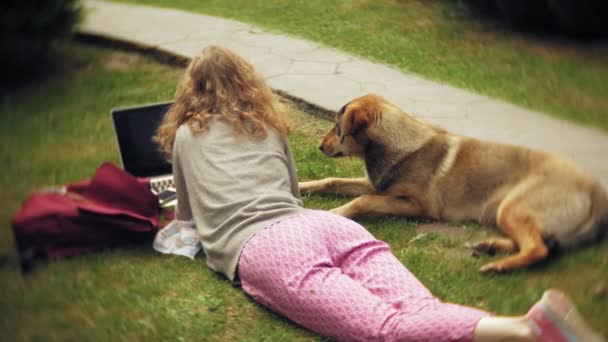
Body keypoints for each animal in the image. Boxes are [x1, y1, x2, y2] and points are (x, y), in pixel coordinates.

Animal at [300, 93, 608, 272]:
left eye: (337, 128)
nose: (319, 147)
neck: (397, 144)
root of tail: (595, 191)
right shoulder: (376, 184)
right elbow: (331, 180)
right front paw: (303, 187)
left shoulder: (418, 205)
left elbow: (362, 200)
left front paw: (332, 213)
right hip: (508, 214)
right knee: (541, 244)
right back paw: (489, 246)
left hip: (512, 208)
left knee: (538, 249)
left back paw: (498, 265)